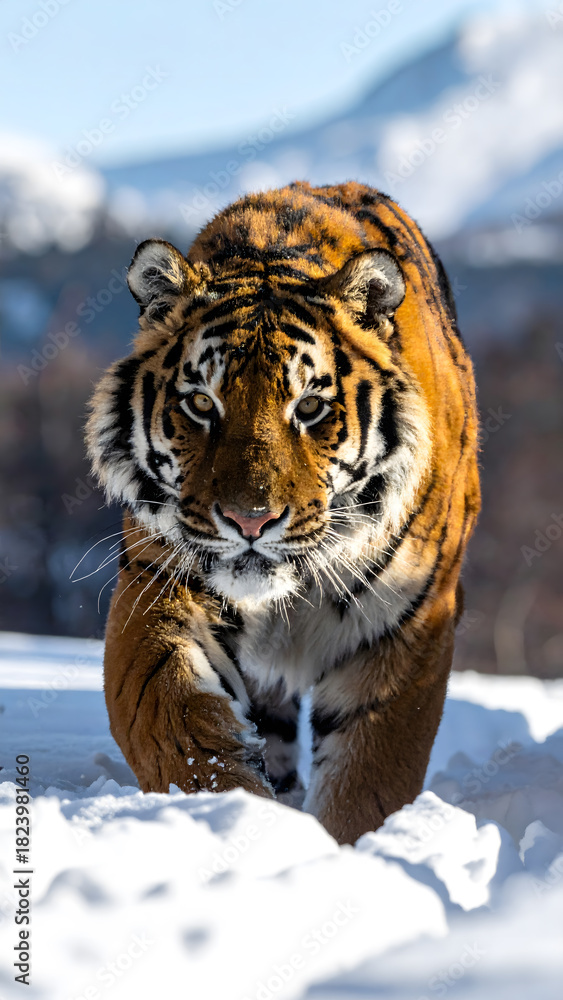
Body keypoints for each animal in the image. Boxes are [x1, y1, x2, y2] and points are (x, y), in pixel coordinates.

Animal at [86, 181, 480, 845]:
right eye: (201, 404)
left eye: (311, 407)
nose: (249, 521)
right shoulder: (157, 582)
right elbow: (171, 717)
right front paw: (243, 820)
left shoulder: (406, 625)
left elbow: (371, 776)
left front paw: (348, 853)